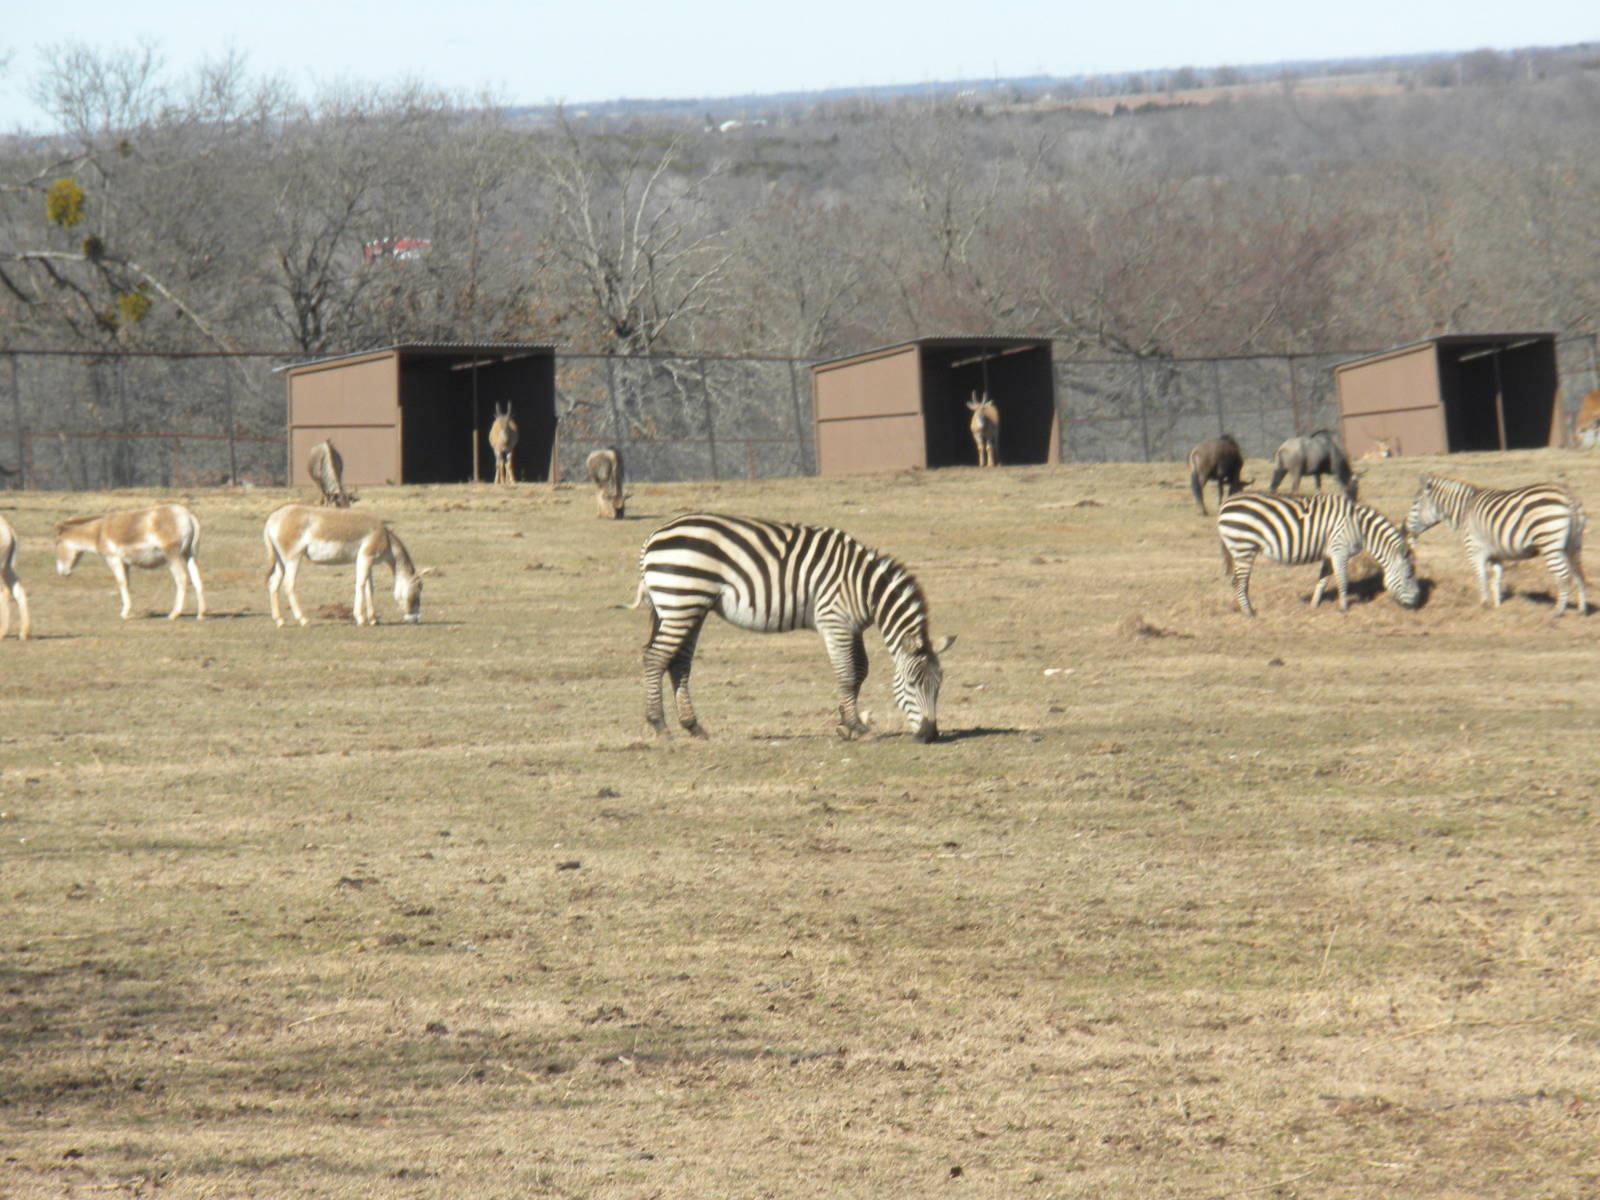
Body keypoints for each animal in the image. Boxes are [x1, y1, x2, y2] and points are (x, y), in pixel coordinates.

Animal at [633, 513, 954, 742]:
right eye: (912, 684)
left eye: (939, 685)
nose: (929, 736)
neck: (864, 589)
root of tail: (654, 536)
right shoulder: (834, 621)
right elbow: (847, 673)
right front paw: (857, 727)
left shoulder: (853, 627)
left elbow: (861, 670)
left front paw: (844, 724)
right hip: (682, 601)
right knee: (655, 657)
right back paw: (659, 725)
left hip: (690, 607)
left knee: (679, 663)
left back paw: (693, 726)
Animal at [1217, 492, 1420, 618]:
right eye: (1409, 575)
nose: (1417, 604)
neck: (1360, 528)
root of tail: (1225, 504)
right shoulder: (1340, 551)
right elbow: (1342, 580)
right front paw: (1343, 608)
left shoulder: (1330, 553)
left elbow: (1323, 580)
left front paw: (1314, 605)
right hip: (1244, 547)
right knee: (1239, 582)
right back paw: (1249, 613)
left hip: (1240, 548)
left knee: (1237, 581)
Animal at [1406, 475, 1588, 616]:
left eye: (1415, 503)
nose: (1405, 529)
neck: (1465, 509)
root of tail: (1567, 496)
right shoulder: (1496, 554)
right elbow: (1496, 579)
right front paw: (1497, 605)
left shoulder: (1474, 549)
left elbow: (1481, 576)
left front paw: (1484, 604)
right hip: (1573, 544)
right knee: (1578, 573)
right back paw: (1581, 609)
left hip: (1549, 542)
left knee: (1564, 575)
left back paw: (1558, 610)